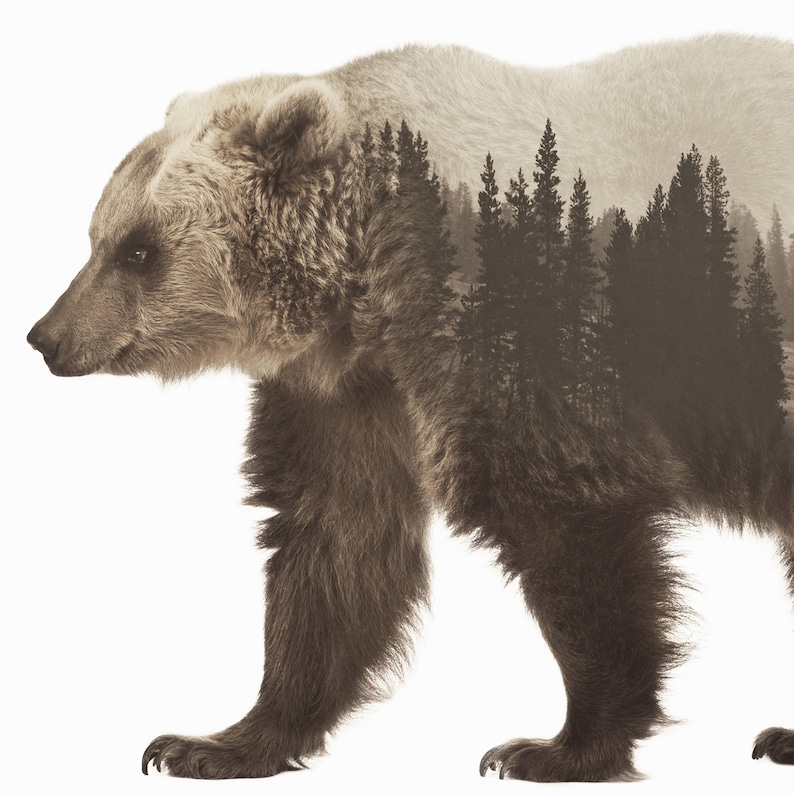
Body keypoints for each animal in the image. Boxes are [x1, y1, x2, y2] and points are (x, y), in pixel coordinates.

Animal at [27, 35, 794, 782]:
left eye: (139, 249)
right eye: (97, 235)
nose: (47, 338)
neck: (375, 280)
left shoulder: (522, 336)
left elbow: (567, 518)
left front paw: (556, 746)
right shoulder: (350, 391)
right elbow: (336, 536)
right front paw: (214, 742)